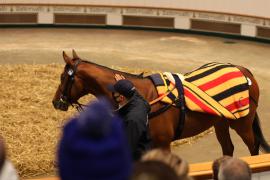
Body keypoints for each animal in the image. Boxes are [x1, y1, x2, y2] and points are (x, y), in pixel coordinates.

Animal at [52, 50, 270, 155]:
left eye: (63, 77)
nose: (56, 102)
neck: (142, 96)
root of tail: (243, 70)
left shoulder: (163, 143)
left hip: (242, 124)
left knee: (254, 147)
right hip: (221, 123)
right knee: (228, 149)